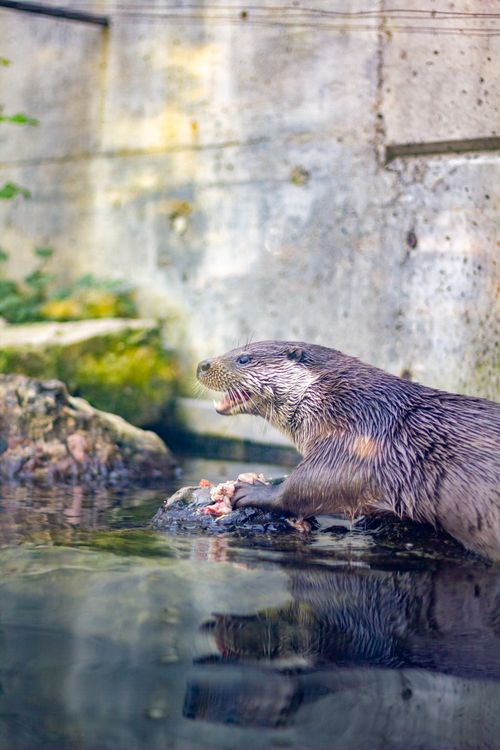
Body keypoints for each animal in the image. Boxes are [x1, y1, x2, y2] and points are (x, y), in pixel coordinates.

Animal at [197, 341, 500, 561]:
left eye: (243, 359)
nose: (202, 364)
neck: (344, 404)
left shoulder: (353, 445)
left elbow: (307, 487)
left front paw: (252, 490)